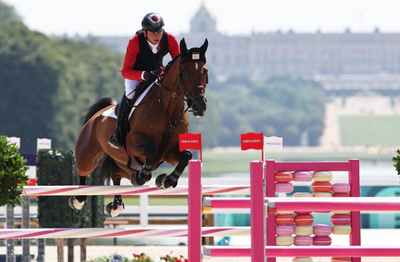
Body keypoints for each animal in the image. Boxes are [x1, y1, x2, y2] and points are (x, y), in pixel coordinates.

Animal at [70, 37, 209, 216]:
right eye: (184, 72)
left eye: (205, 72)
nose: (200, 107)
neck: (167, 111)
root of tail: (97, 117)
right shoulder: (133, 143)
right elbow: (151, 149)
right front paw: (145, 174)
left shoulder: (170, 153)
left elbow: (186, 155)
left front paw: (165, 180)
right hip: (88, 156)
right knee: (82, 171)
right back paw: (78, 199)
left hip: (123, 163)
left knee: (116, 174)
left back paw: (116, 204)